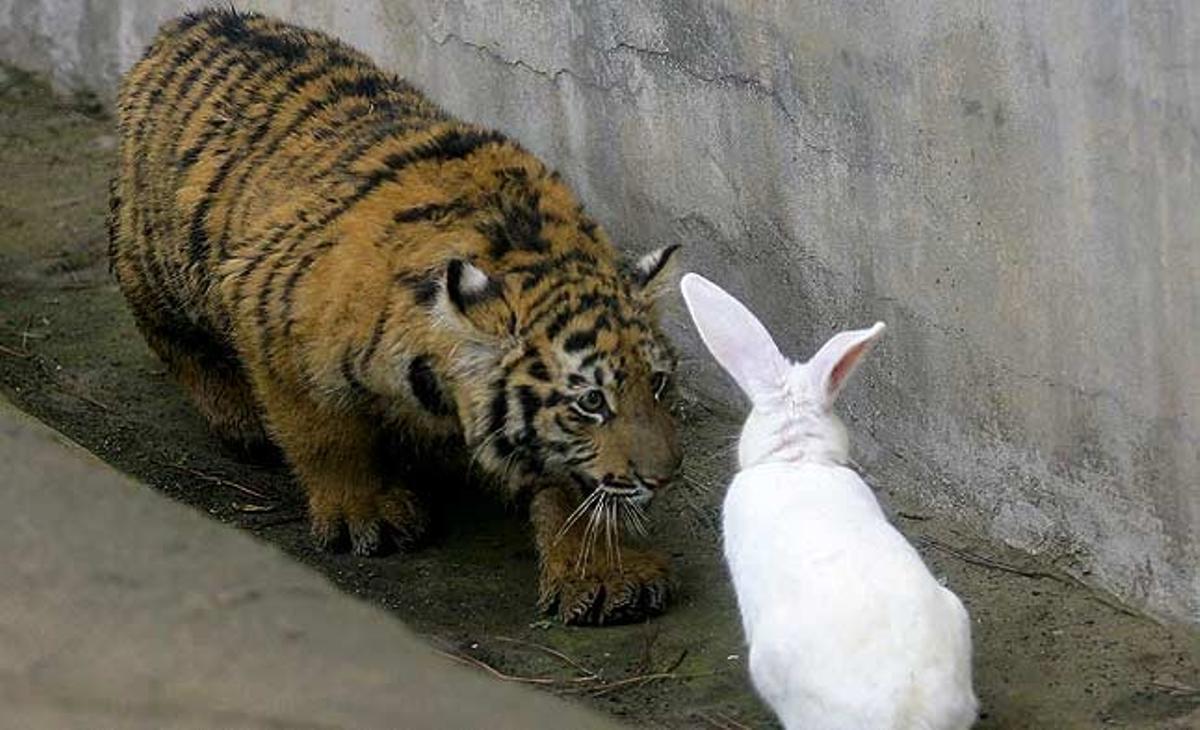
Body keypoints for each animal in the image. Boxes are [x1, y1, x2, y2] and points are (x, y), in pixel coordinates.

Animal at [107, 9, 683, 625]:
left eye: (658, 384)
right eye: (591, 402)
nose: (665, 476)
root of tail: (192, 20)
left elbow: (574, 484)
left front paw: (604, 575)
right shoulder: (269, 310)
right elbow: (322, 432)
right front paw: (364, 513)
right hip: (158, 263)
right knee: (168, 333)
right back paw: (240, 419)